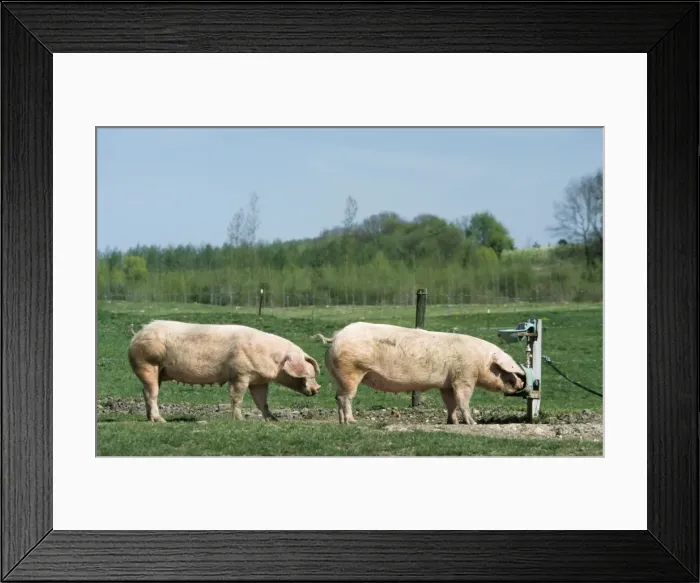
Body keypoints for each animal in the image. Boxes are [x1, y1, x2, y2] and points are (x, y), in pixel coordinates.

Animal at [127, 320, 321, 423]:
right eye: (310, 374)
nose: (317, 388)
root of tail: (137, 334)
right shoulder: (240, 374)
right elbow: (237, 397)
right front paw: (240, 420)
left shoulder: (259, 381)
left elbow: (262, 402)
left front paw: (273, 420)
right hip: (147, 363)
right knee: (151, 393)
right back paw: (161, 420)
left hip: (157, 371)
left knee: (145, 392)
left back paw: (150, 419)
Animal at [320, 322, 525, 425]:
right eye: (508, 373)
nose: (523, 384)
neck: (481, 362)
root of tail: (336, 337)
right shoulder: (464, 377)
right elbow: (463, 400)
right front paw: (472, 423)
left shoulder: (446, 384)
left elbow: (450, 403)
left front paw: (452, 423)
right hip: (351, 370)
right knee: (346, 397)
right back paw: (352, 421)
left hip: (339, 376)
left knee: (338, 397)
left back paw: (341, 422)